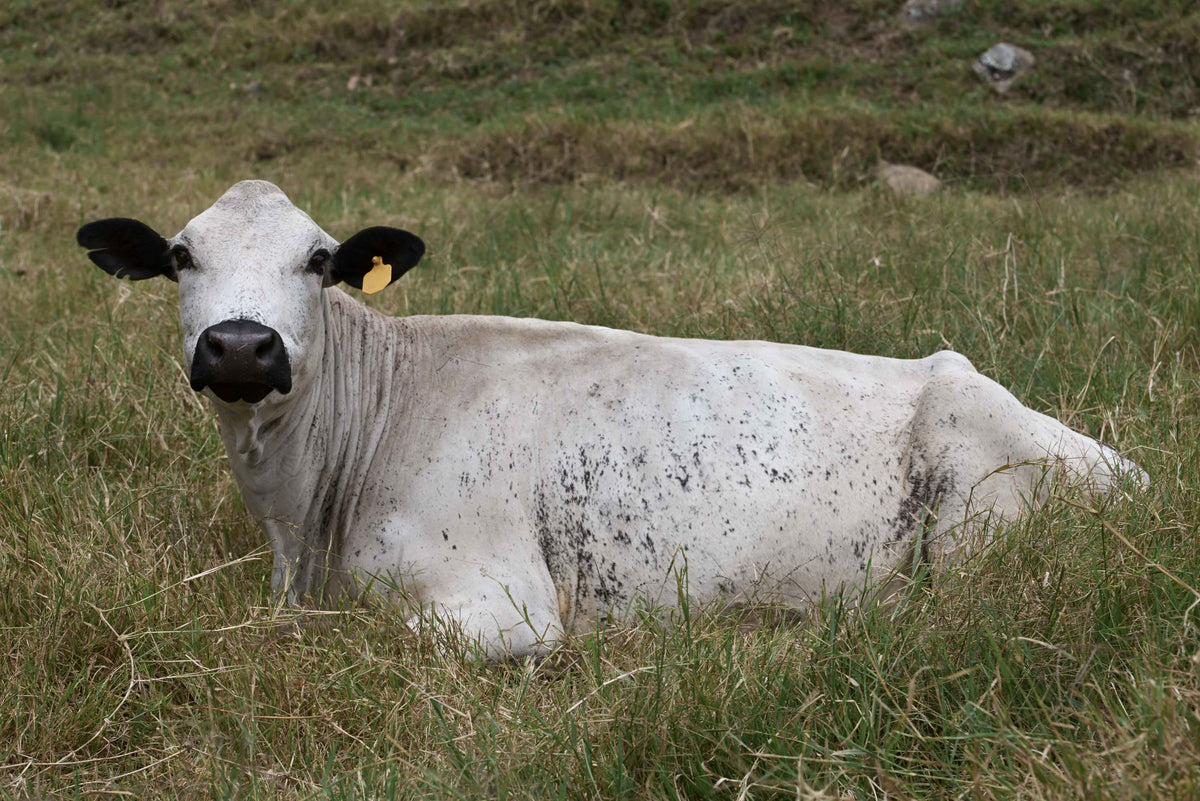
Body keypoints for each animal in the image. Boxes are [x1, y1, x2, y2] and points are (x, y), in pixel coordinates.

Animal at [77, 180, 1144, 659]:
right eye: (180, 256)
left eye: (318, 259)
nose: (242, 346)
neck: (305, 528)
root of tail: (1132, 473)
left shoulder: (502, 601)